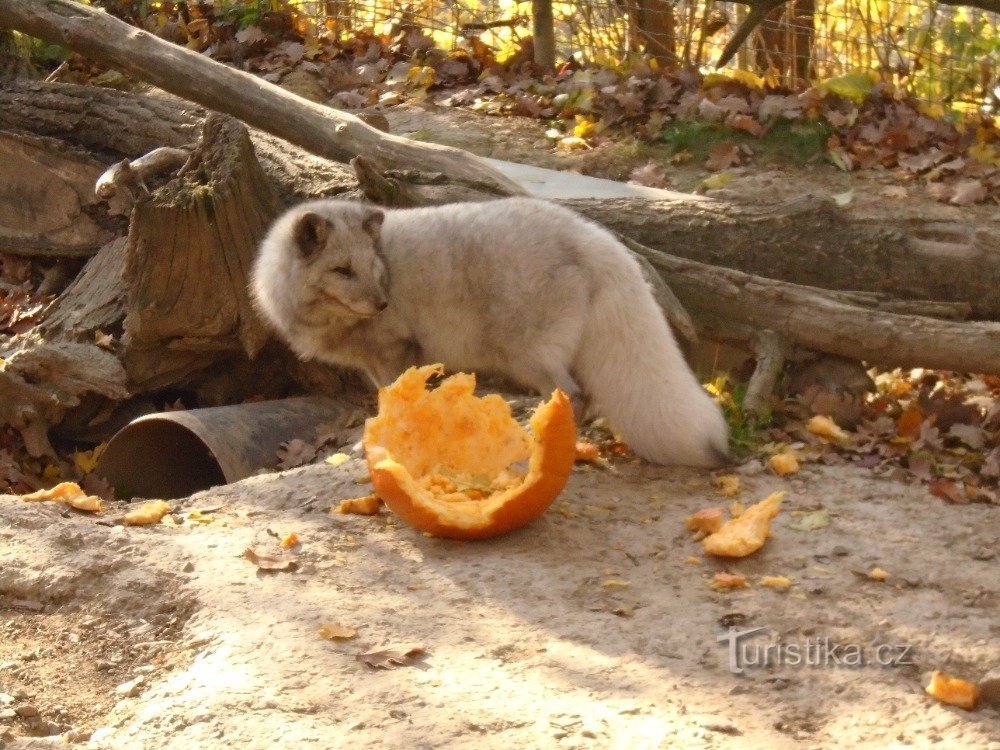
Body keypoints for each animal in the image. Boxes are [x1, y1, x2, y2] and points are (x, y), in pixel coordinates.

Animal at [254, 200, 732, 470]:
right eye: (342, 270)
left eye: (370, 268)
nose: (381, 303)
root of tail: (594, 236)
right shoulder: (379, 363)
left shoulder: (394, 351)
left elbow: (390, 404)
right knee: (584, 397)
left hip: (526, 356)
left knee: (575, 396)